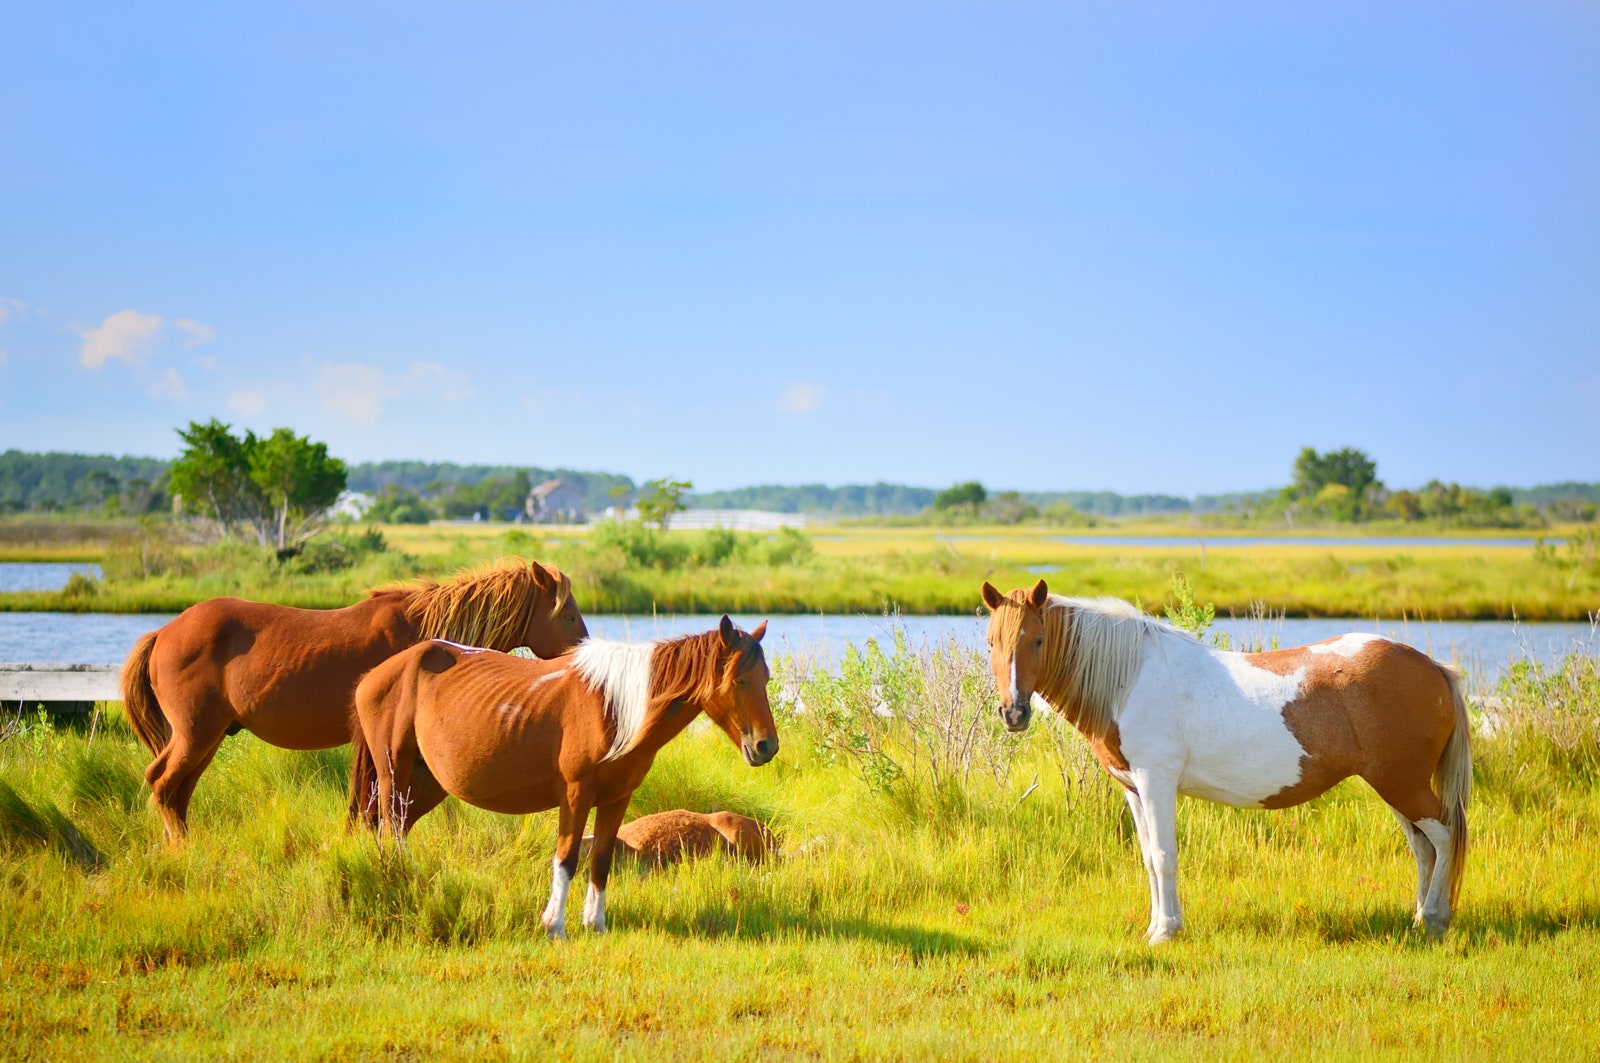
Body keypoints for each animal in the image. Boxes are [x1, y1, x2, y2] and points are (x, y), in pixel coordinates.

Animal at [118, 560, 585, 845]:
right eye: (565, 614)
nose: (584, 654)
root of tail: (164, 632)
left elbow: (365, 802)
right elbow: (372, 800)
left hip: (207, 739)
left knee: (178, 792)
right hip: (195, 735)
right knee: (162, 784)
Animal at [353, 614, 777, 941]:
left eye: (766, 679)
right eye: (739, 680)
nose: (766, 746)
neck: (615, 707)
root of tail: (374, 676)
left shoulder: (616, 798)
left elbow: (602, 858)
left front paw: (596, 924)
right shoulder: (575, 796)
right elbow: (567, 858)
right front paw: (554, 926)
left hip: (425, 783)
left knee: (395, 826)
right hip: (394, 771)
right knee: (390, 826)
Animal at [979, 576, 1465, 941]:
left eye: (1037, 640)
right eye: (990, 643)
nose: (1013, 713)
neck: (1128, 678)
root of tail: (1433, 668)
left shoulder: (1157, 781)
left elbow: (1164, 854)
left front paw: (1166, 932)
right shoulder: (1134, 788)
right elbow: (1148, 858)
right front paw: (1156, 925)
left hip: (1403, 784)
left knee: (1444, 836)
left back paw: (1435, 919)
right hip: (1394, 786)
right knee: (1423, 847)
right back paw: (1418, 918)